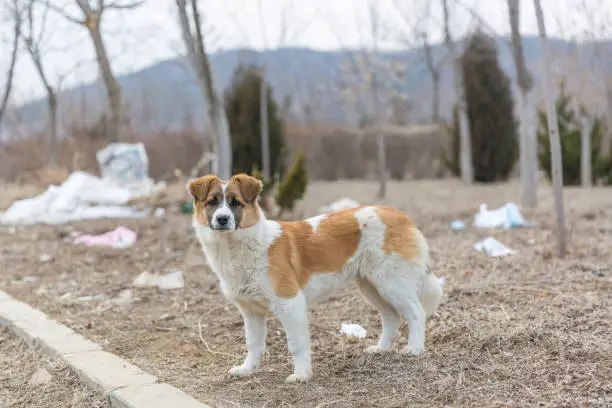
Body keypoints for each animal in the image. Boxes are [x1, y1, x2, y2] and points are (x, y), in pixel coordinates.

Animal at [188, 174, 444, 384]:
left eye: (235, 203)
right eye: (212, 202)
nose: (222, 219)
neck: (238, 246)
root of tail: (400, 214)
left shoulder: (290, 303)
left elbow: (297, 344)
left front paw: (302, 375)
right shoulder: (251, 311)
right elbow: (253, 344)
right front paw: (247, 369)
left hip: (391, 283)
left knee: (415, 312)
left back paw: (414, 349)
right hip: (371, 285)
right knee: (391, 316)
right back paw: (381, 349)